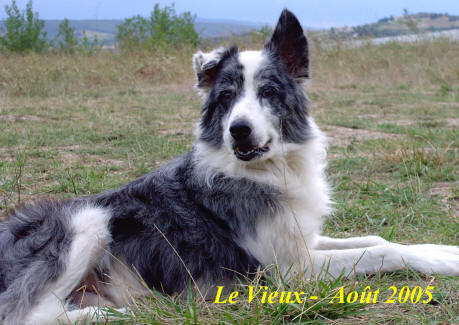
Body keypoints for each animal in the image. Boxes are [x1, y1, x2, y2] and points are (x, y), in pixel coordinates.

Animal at [0, 8, 459, 322]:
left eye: (269, 91)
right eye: (225, 97)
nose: (239, 130)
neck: (268, 169)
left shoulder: (301, 239)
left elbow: (378, 240)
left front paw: (445, 250)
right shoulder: (287, 271)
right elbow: (382, 253)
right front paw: (444, 261)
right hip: (87, 218)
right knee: (27, 314)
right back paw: (109, 315)